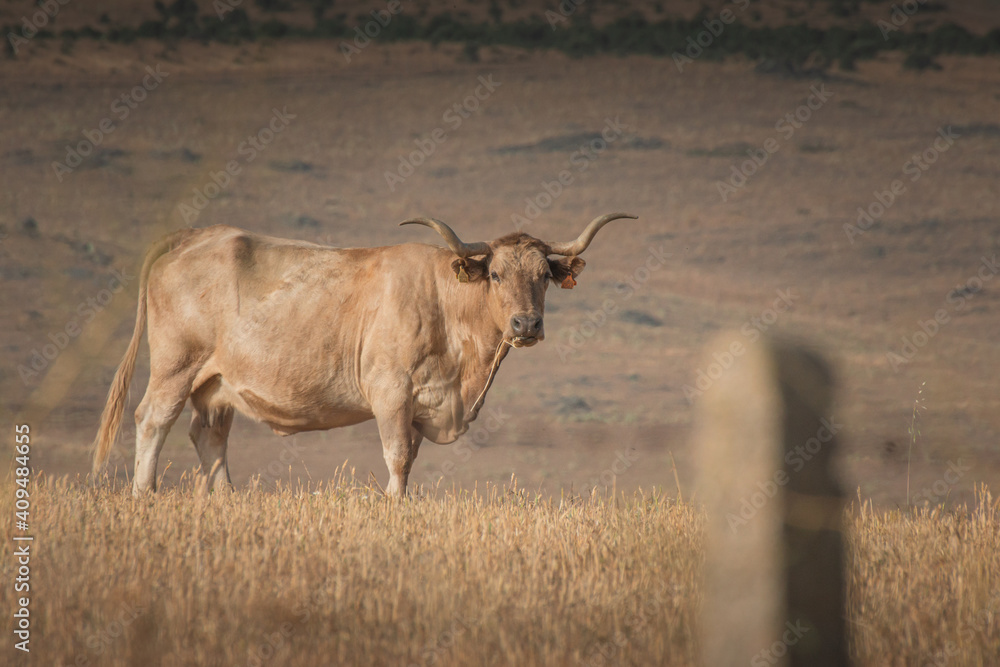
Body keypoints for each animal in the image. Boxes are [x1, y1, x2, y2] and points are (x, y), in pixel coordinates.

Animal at [91, 213, 636, 497]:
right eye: (497, 274)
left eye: (543, 276)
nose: (526, 325)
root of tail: (194, 235)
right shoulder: (390, 392)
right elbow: (396, 457)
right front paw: (394, 505)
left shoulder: (419, 407)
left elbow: (410, 458)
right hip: (175, 367)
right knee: (152, 420)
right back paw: (144, 495)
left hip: (216, 384)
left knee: (209, 436)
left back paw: (227, 500)